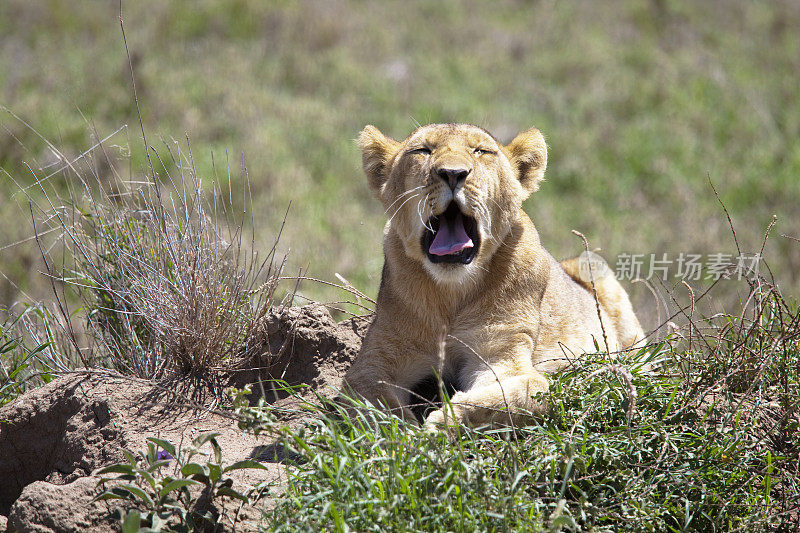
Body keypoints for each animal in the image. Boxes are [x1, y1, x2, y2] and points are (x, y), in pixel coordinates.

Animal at [342, 122, 644, 426]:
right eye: (422, 150)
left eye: (481, 151)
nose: (453, 173)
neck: (450, 293)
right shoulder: (377, 358)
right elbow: (377, 403)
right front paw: (407, 430)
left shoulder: (501, 350)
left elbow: (517, 393)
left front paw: (441, 424)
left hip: (594, 267)